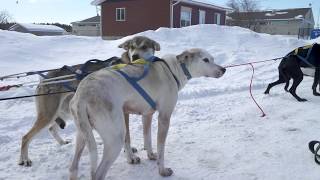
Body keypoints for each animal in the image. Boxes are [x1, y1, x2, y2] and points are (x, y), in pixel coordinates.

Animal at [18, 35, 160, 167]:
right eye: (131, 47)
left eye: (144, 46)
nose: (135, 56)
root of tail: (43, 80)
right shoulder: (123, 112)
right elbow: (127, 137)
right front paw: (130, 157)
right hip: (49, 114)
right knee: (25, 137)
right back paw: (24, 159)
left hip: (62, 113)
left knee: (52, 128)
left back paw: (62, 142)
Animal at [69, 48, 226, 180]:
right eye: (206, 60)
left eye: (213, 59)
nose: (223, 69)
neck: (172, 70)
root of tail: (82, 94)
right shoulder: (164, 118)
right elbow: (161, 149)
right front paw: (162, 171)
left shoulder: (147, 115)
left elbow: (148, 138)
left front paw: (150, 155)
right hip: (115, 139)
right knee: (98, 174)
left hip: (83, 136)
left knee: (73, 168)